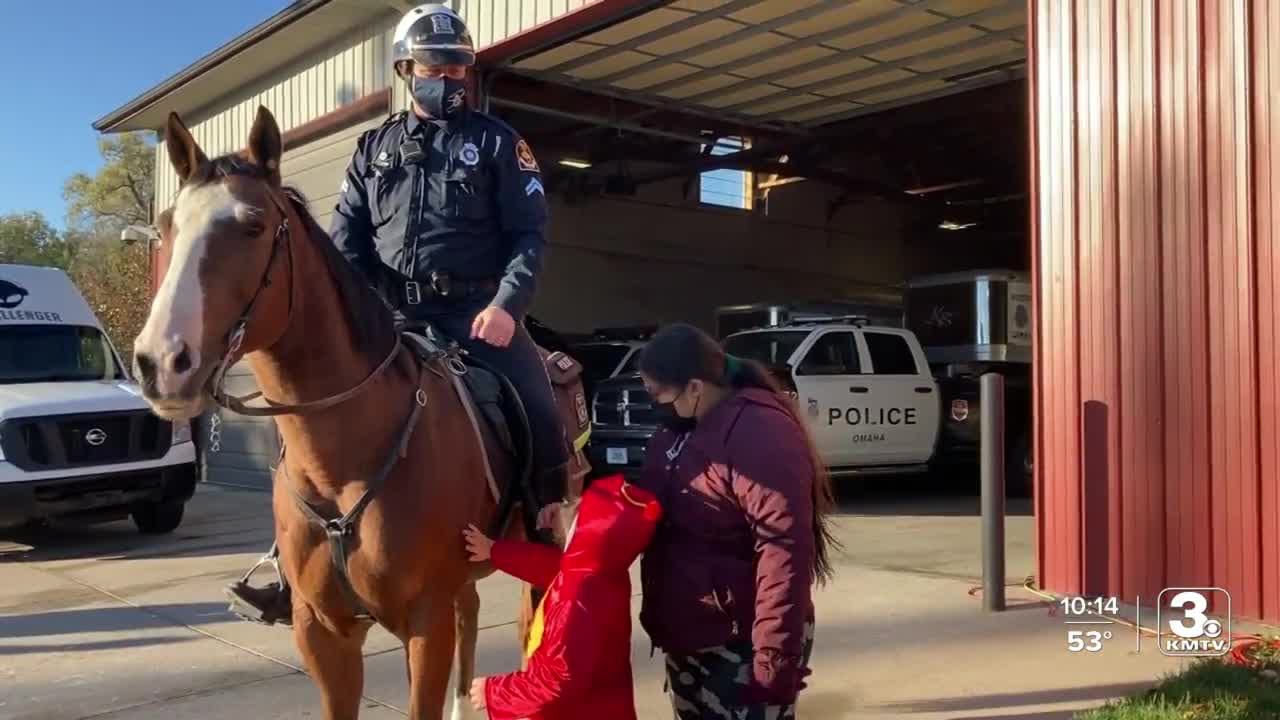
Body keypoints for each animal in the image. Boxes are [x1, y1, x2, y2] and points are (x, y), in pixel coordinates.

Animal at [131, 106, 545, 717]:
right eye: (166, 227)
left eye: (253, 225)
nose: (161, 362)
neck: (345, 458)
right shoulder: (323, 632)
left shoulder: (424, 625)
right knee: (471, 613)